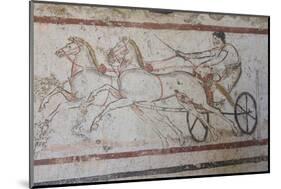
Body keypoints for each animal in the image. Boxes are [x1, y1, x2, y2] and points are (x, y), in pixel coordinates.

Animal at [87, 37, 238, 141]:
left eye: (120, 46)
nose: (109, 57)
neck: (131, 71)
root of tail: (196, 78)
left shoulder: (129, 100)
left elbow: (109, 106)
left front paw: (94, 124)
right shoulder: (122, 95)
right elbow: (105, 87)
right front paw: (90, 98)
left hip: (198, 100)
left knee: (215, 110)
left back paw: (233, 128)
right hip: (185, 103)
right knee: (199, 114)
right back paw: (214, 134)